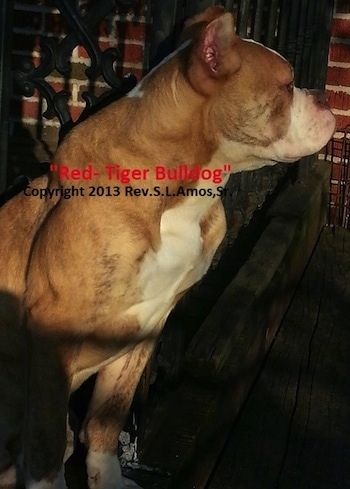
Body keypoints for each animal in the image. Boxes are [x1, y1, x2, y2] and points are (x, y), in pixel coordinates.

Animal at [0, 6, 334, 488]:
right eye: (288, 85)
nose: (324, 98)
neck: (183, 197)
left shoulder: (146, 329)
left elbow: (106, 421)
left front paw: (109, 477)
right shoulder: (50, 335)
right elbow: (44, 450)